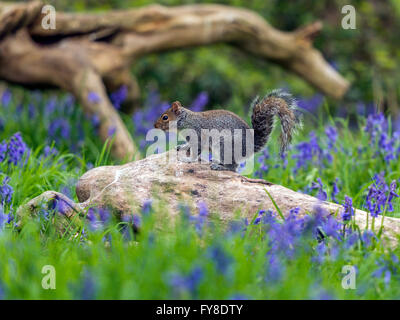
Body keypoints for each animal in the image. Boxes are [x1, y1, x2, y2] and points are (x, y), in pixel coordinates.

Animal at [155, 89, 302, 171]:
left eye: (165, 117)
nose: (155, 125)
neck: (186, 120)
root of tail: (250, 147)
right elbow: (188, 145)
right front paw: (181, 147)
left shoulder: (197, 134)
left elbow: (196, 151)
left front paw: (188, 160)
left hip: (224, 145)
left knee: (233, 167)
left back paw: (219, 166)